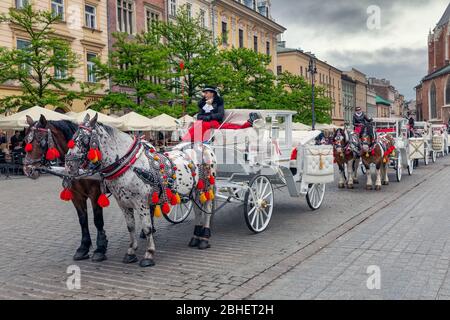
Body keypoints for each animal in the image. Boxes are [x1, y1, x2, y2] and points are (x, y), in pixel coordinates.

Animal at [23, 115, 109, 262]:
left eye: (41, 141)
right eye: (25, 140)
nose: (28, 170)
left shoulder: (96, 193)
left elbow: (98, 220)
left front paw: (100, 248)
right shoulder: (76, 195)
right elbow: (82, 220)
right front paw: (83, 248)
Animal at [64, 114, 216, 268]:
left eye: (83, 139)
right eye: (72, 137)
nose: (68, 165)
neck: (130, 166)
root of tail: (203, 146)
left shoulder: (141, 202)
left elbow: (147, 227)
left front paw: (149, 254)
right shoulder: (123, 203)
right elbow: (131, 227)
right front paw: (131, 252)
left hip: (206, 187)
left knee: (207, 209)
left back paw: (204, 238)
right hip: (194, 191)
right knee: (198, 211)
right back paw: (195, 237)